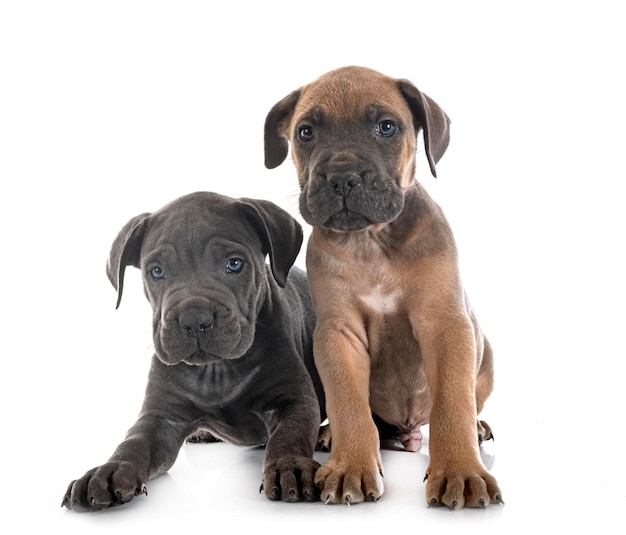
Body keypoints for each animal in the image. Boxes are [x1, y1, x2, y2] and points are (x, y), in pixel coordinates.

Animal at [62, 192, 324, 510]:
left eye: (234, 264)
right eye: (156, 271)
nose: (194, 318)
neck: (217, 372)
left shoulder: (293, 399)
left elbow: (290, 434)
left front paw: (290, 465)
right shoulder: (161, 417)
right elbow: (133, 442)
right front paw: (108, 472)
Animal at [264, 65, 502, 508]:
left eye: (387, 127)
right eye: (305, 132)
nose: (342, 177)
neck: (371, 242)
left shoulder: (445, 324)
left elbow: (453, 403)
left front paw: (460, 469)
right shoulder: (338, 334)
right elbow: (348, 403)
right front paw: (351, 464)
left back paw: (477, 429)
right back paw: (331, 434)